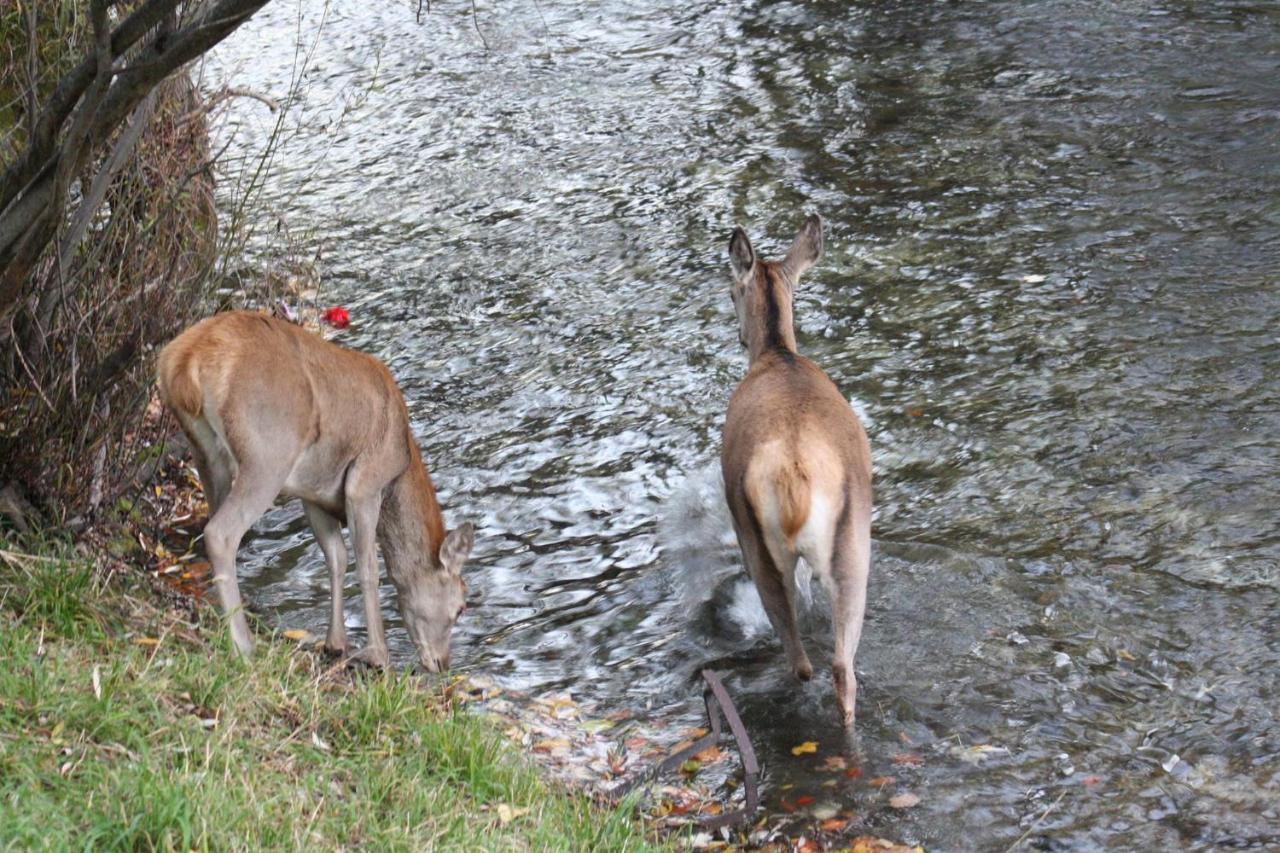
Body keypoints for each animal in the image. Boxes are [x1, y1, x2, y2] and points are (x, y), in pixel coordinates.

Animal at [157, 308, 473, 666]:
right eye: (461, 606)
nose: (443, 663)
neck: (401, 463)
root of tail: (185, 363)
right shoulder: (364, 483)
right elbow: (368, 565)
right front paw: (379, 655)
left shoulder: (315, 494)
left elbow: (336, 557)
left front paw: (335, 643)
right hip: (268, 453)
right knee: (220, 533)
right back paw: (243, 645)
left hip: (206, 453)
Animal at [721, 212, 870, 722]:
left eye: (731, 292)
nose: (739, 333)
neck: (778, 353)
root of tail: (794, 475)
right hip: (848, 548)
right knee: (835, 667)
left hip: (771, 549)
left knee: (808, 664)